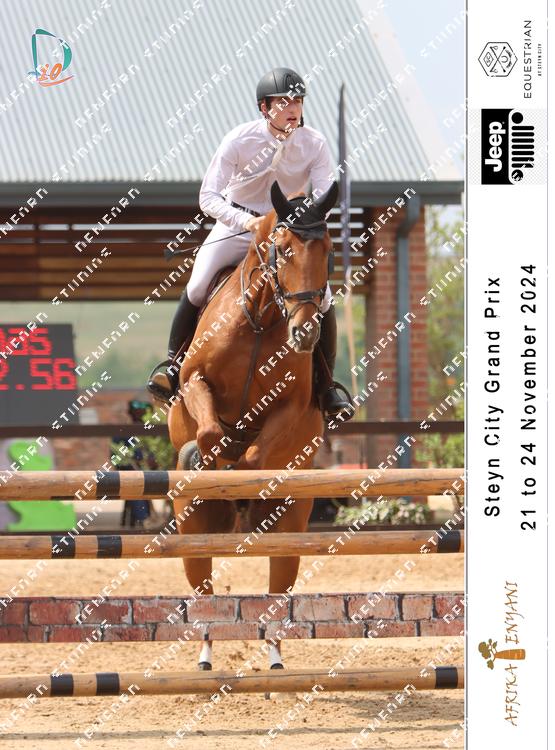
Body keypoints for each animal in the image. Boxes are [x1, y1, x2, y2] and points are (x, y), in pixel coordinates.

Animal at [167, 179, 338, 670]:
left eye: (328, 250)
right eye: (283, 250)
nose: (305, 333)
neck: (260, 319)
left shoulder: (292, 408)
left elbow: (256, 456)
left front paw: (240, 481)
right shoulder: (194, 382)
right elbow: (209, 432)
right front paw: (203, 461)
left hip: (292, 528)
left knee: (278, 589)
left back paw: (275, 657)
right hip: (191, 531)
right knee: (203, 589)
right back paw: (206, 655)